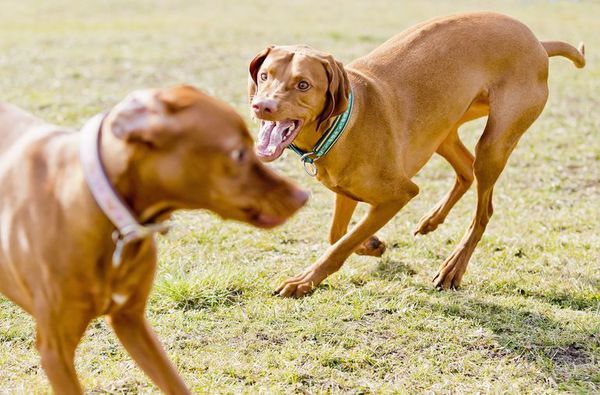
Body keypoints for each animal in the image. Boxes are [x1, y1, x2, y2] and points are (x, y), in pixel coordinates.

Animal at [246, 11, 584, 296]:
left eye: (303, 84)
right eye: (265, 76)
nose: (262, 106)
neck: (342, 123)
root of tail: (538, 43)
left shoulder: (399, 194)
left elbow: (340, 245)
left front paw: (304, 281)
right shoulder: (345, 192)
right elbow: (337, 235)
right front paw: (371, 245)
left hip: (495, 142)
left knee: (483, 212)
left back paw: (453, 268)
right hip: (444, 130)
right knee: (466, 170)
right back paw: (432, 220)